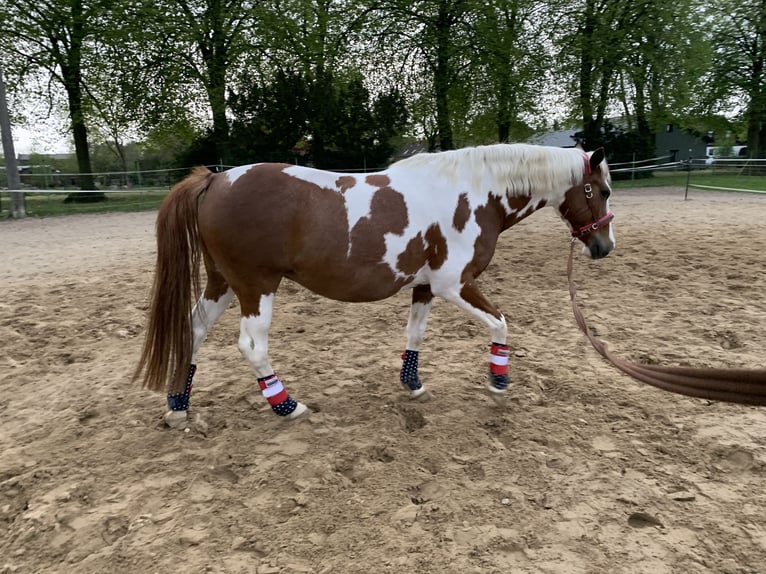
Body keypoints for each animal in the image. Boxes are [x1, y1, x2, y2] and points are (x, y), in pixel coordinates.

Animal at [134, 143, 615, 428]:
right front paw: (498, 385)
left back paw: (178, 406)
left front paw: (413, 384)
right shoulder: (454, 284)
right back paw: (287, 405)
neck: (474, 193)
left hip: (223, 283)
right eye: (603, 190)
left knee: (192, 330)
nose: (604, 246)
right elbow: (500, 324)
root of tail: (217, 178)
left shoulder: (425, 287)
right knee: (252, 347)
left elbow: (415, 333)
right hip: (256, 286)